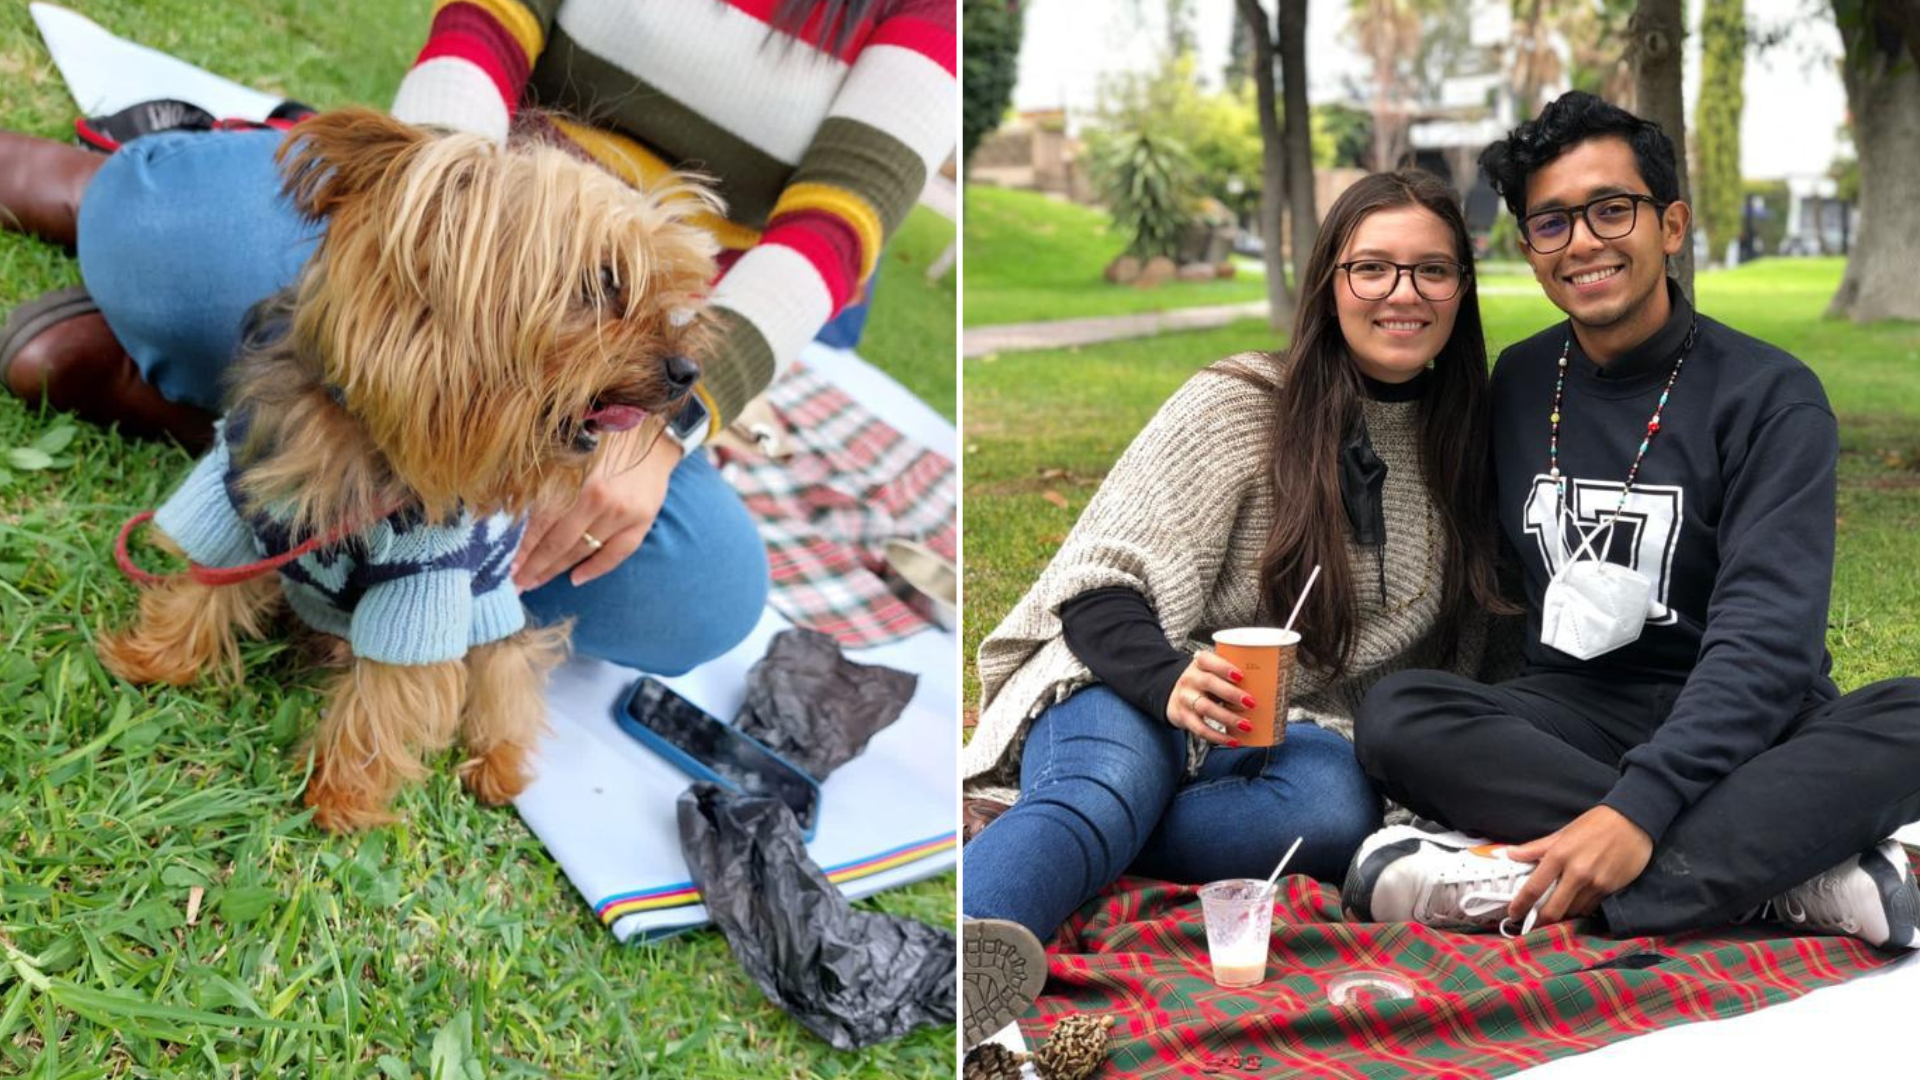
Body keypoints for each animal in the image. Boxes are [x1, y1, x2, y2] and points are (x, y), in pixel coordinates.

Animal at [95, 109, 721, 826]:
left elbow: (388, 694)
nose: (687, 371)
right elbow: (205, 583)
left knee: (505, 681)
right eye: (600, 284)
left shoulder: (424, 583)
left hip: (491, 615)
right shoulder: (236, 500)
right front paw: (154, 659)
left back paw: (497, 764)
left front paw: (341, 794)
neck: (361, 436)